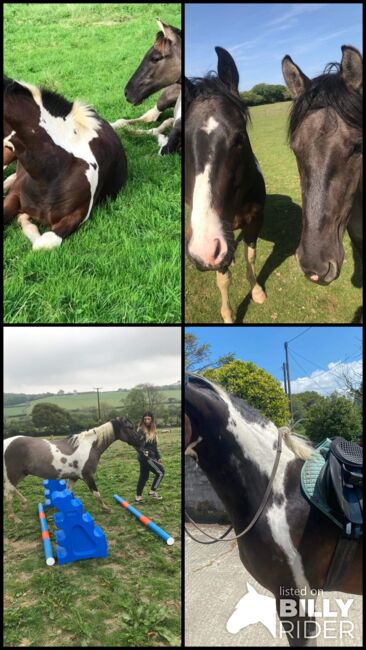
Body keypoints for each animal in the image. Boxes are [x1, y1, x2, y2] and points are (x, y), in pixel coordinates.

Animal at [3, 416, 144, 520]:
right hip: (13, 474)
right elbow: (96, 494)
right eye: (130, 427)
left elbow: (69, 493)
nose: (141, 441)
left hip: (22, 474)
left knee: (12, 490)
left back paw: (24, 504)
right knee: (8, 495)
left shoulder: (73, 477)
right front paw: (106, 508)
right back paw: (15, 518)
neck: (90, 446)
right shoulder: (87, 476)